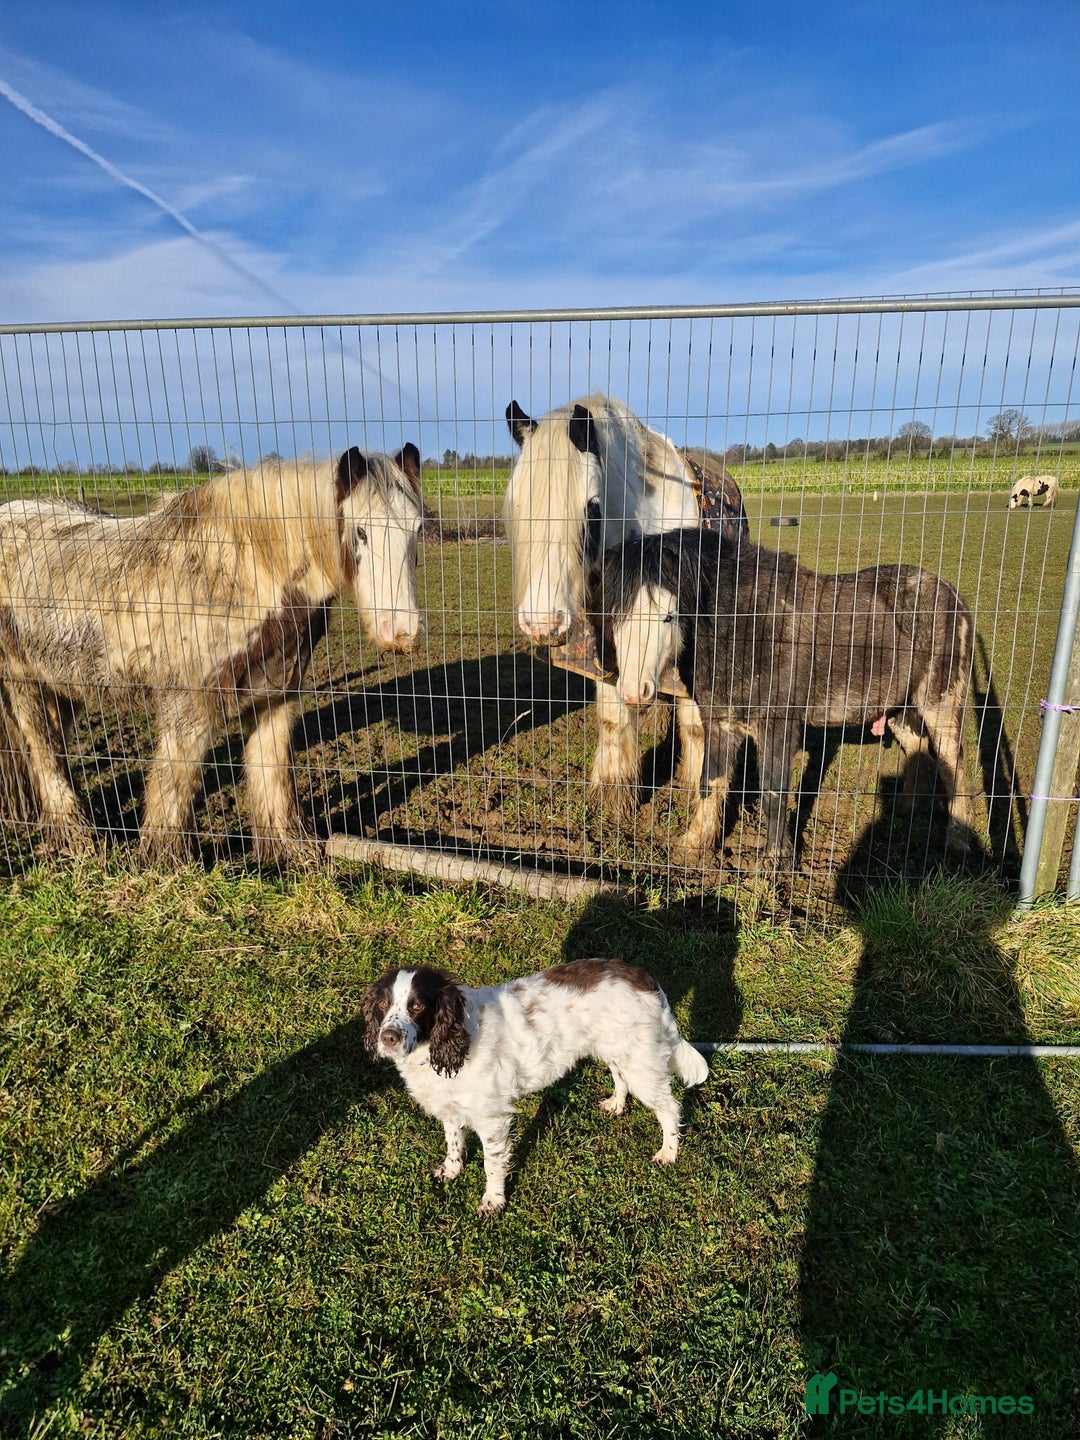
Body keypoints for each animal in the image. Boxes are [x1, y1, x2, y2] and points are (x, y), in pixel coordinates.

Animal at [0, 445, 425, 864]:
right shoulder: (188, 708)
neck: (249, 569)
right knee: (42, 750)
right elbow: (173, 785)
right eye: (361, 531)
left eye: (418, 529)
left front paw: (289, 854)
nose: (400, 632)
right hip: (22, 682)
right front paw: (164, 862)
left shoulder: (275, 697)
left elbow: (272, 777)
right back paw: (77, 836)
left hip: (61, 682)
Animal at [503, 393, 748, 807]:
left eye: (592, 507)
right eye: (516, 504)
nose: (542, 623)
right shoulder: (605, 642)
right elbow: (613, 714)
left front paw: (696, 785)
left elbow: (695, 721)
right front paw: (614, 791)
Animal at [596, 528, 974, 867]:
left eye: (668, 615)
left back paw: (958, 842)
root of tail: (953, 596)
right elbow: (710, 782)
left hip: (940, 701)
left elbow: (773, 792)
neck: (743, 627)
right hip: (898, 706)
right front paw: (693, 844)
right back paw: (905, 812)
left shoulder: (777, 726)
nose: (634, 692)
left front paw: (777, 860)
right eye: (615, 613)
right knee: (918, 749)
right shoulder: (720, 721)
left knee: (952, 761)